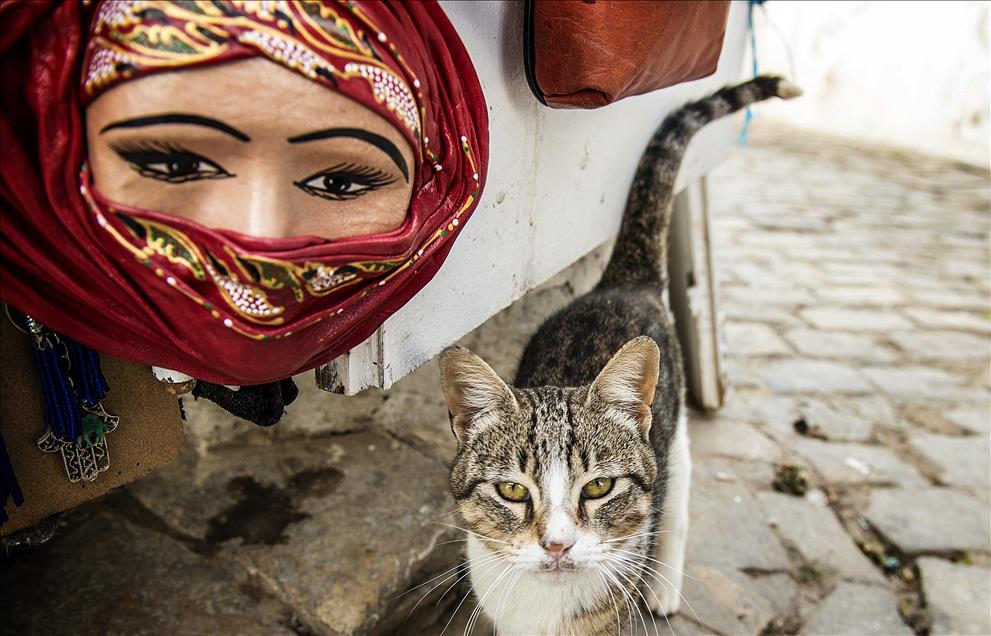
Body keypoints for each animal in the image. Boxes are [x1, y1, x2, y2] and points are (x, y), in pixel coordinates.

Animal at [438, 76, 804, 636]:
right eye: (513, 493)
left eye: (600, 487)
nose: (557, 545)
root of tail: (624, 281)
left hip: (673, 432)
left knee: (677, 501)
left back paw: (665, 585)